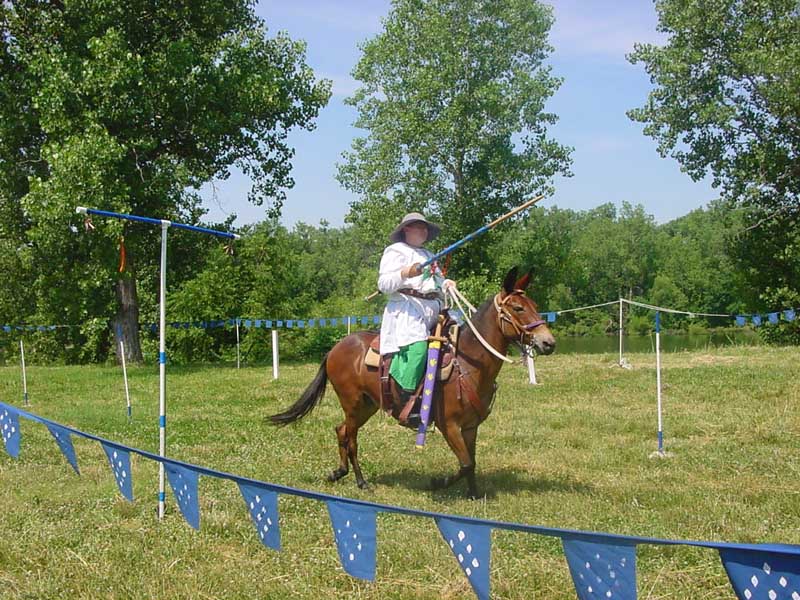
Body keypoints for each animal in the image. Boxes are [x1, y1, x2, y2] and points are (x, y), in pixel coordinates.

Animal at [269, 266, 556, 498]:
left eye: (534, 304)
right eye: (518, 308)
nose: (548, 342)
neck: (468, 365)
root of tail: (336, 348)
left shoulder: (470, 427)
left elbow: (471, 462)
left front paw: (474, 494)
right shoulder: (449, 425)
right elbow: (465, 463)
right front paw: (437, 483)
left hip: (367, 405)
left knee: (341, 431)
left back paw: (339, 472)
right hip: (352, 402)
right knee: (351, 438)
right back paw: (361, 482)